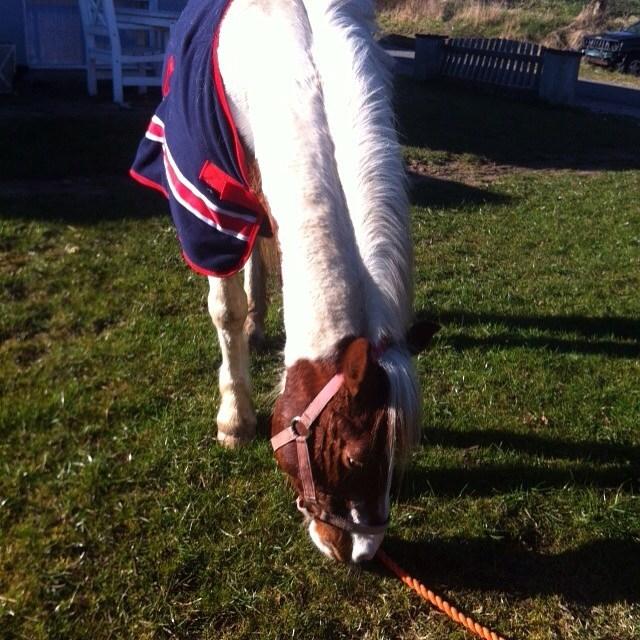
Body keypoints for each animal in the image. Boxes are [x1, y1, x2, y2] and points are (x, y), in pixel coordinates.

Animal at [132, 0, 438, 560]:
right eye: (355, 457)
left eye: (398, 456)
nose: (361, 554)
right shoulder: (211, 211)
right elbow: (224, 309)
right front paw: (234, 421)